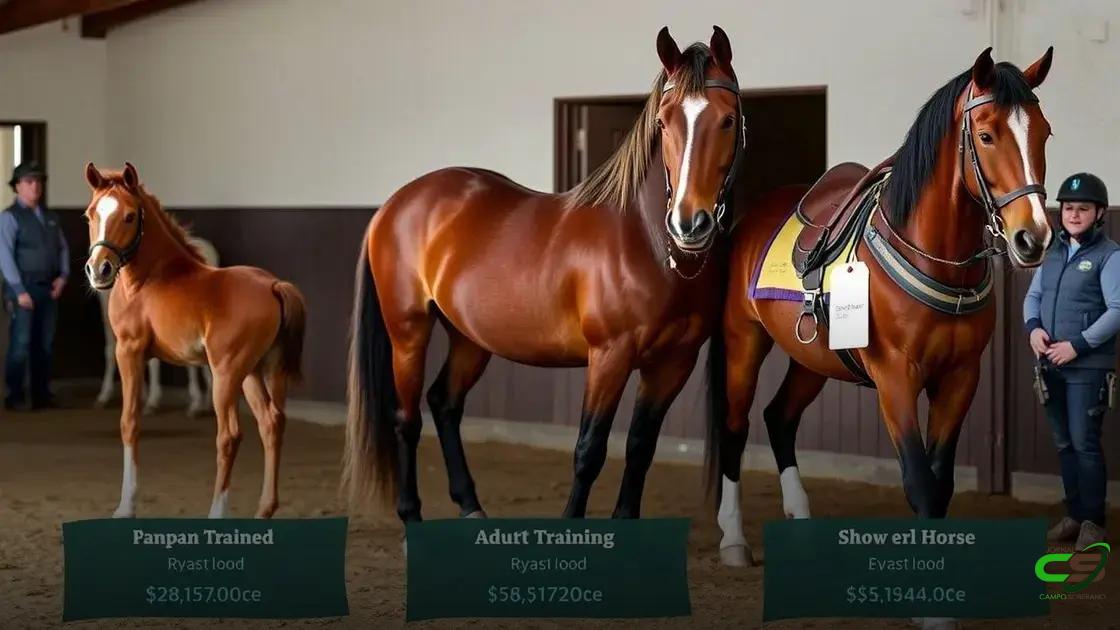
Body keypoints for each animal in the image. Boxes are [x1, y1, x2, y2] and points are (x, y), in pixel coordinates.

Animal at [343, 26, 747, 529]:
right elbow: (589, 452)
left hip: (469, 338)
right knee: (406, 418)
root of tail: (395, 203)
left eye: (728, 120)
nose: (689, 225)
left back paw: (471, 503)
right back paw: (411, 516)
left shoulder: (673, 363)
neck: (647, 241)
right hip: (408, 330)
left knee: (444, 403)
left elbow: (640, 449)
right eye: (663, 123)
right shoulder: (609, 357)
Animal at [706, 47, 1055, 567]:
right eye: (987, 135)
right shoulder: (895, 376)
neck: (935, 258)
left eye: (1044, 132)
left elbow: (940, 482)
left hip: (813, 357)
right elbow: (920, 482)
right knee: (734, 425)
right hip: (742, 341)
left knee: (779, 419)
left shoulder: (961, 377)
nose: (1033, 237)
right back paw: (732, 539)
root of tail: (747, 219)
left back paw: (800, 520)